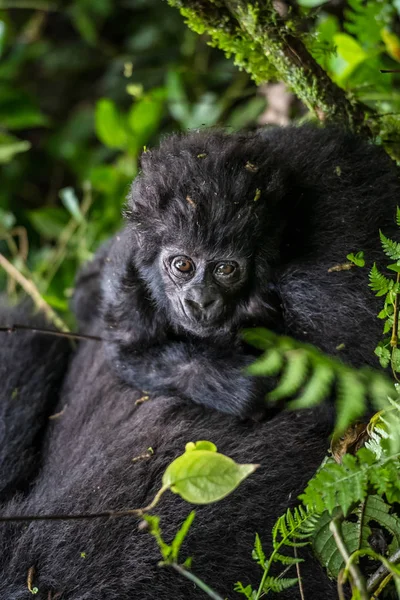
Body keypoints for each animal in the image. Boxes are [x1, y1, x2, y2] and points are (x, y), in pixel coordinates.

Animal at [0, 124, 396, 596]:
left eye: (225, 270)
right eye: (183, 266)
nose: (199, 301)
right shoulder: (127, 281)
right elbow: (130, 350)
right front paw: (244, 386)